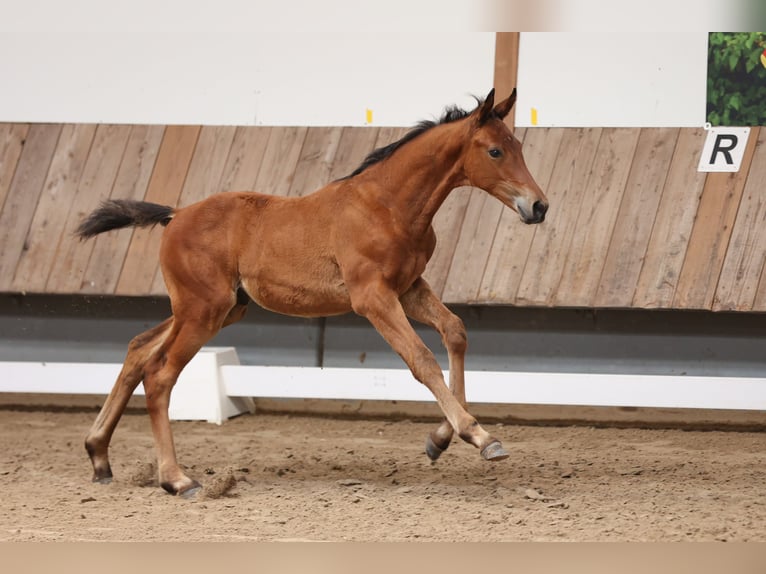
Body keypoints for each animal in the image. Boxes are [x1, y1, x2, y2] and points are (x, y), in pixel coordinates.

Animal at [75, 88, 548, 498]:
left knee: (138, 349)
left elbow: (455, 331)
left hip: (219, 308)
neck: (388, 207)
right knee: (159, 374)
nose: (539, 206)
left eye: (520, 146)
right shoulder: (372, 297)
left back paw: (99, 457)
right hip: (203, 310)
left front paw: (441, 438)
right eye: (495, 151)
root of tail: (175, 216)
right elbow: (421, 359)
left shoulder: (409, 288)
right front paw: (479, 436)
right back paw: (176, 479)